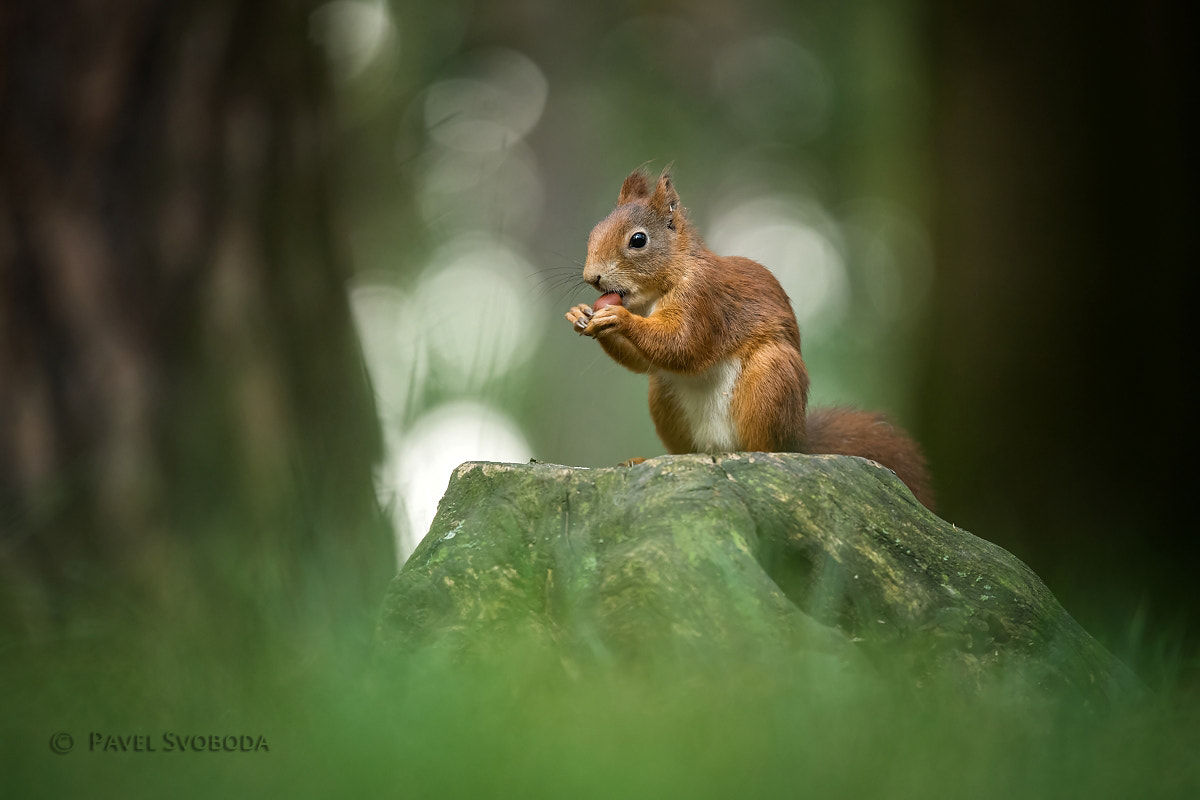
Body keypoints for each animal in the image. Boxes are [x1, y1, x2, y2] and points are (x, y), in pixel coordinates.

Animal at [564, 167, 935, 510]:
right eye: (593, 232)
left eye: (638, 240)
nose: (592, 277)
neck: (659, 288)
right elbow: (644, 362)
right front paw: (580, 313)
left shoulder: (705, 300)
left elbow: (683, 345)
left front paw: (618, 318)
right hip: (665, 398)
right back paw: (649, 460)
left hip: (770, 379)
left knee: (767, 448)